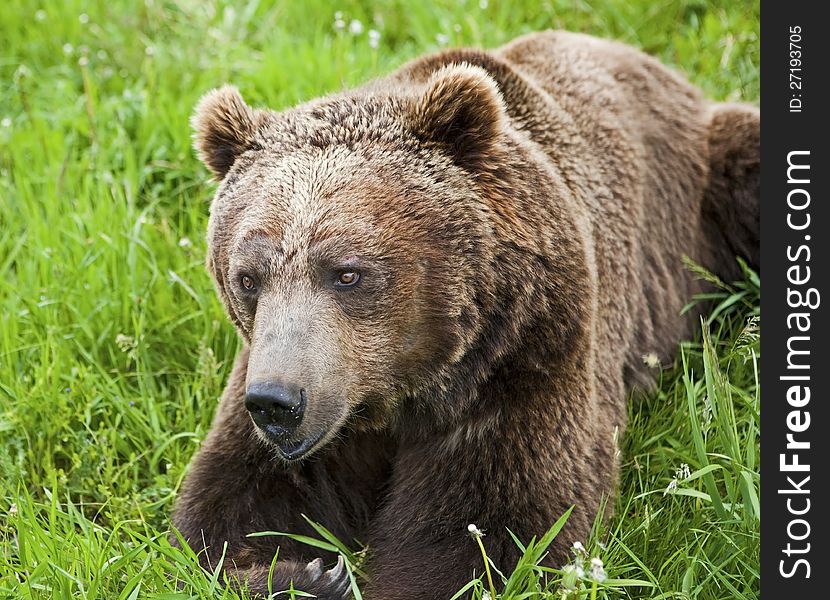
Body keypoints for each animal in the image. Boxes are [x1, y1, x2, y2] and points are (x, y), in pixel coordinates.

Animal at [174, 29, 760, 600]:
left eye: (347, 273)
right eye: (248, 277)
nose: (278, 402)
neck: (400, 392)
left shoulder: (525, 355)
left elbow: (485, 530)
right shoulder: (283, 383)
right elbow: (226, 510)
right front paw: (305, 574)